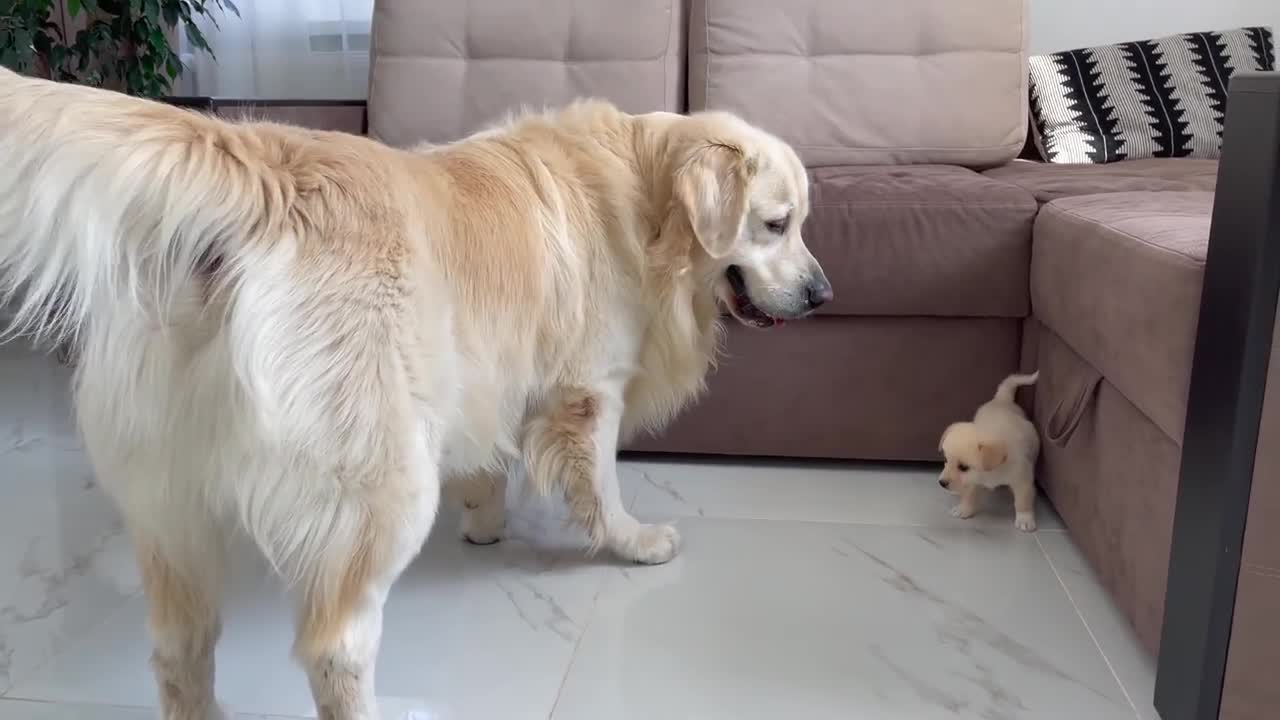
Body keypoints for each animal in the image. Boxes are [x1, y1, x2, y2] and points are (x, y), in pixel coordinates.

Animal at [0, 64, 829, 712]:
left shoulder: (492, 375)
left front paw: (486, 521)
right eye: (775, 224)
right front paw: (633, 541)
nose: (823, 294)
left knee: (178, 650)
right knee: (335, 646)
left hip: (168, 507)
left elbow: (491, 460)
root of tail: (265, 168)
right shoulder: (585, 390)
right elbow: (599, 484)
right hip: (382, 485)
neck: (646, 200)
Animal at [942, 371, 1039, 530]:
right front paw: (964, 509)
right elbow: (969, 494)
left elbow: (1022, 501)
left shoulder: (1022, 479)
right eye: (945, 460)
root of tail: (1002, 399)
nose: (941, 483)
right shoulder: (972, 480)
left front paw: (1024, 519)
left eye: (963, 467)